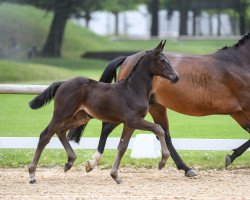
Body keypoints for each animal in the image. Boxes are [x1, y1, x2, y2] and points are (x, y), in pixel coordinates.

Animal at [28, 41, 179, 184]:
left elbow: (122, 147)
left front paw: (115, 176)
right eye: (162, 60)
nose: (176, 77)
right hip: (62, 113)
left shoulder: (129, 124)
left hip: (80, 117)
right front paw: (162, 162)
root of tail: (62, 83)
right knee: (45, 135)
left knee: (60, 131)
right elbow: (158, 129)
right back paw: (32, 174)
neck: (133, 89)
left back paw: (69, 162)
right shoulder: (133, 120)